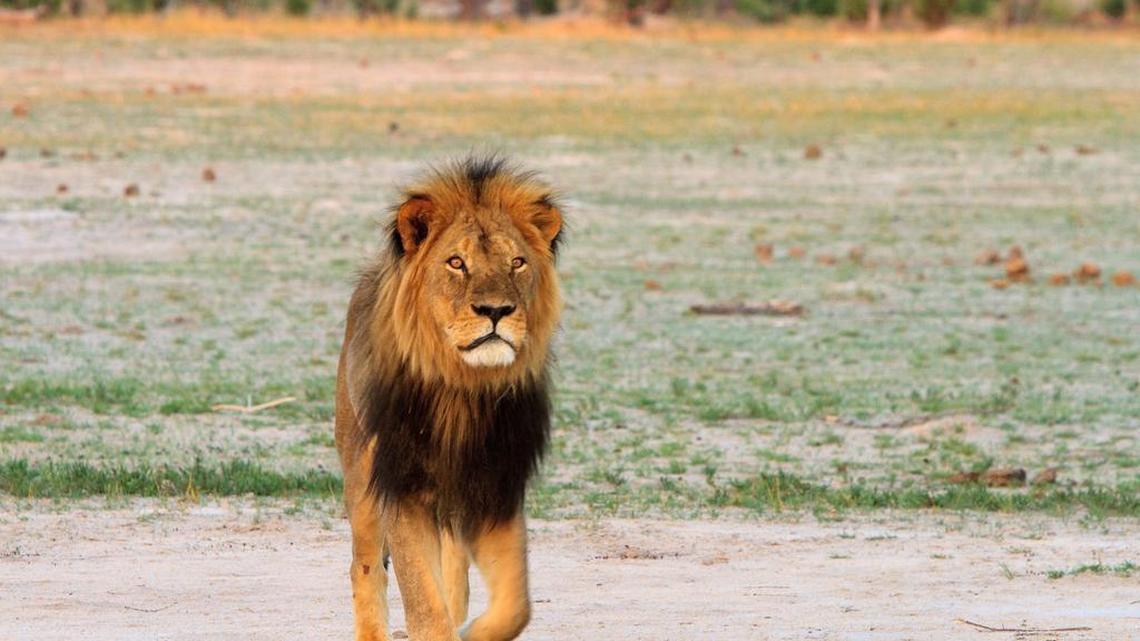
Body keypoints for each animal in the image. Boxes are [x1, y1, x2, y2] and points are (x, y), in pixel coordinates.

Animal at [334, 156, 564, 641]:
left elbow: (515, 605)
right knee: (365, 566)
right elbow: (424, 602)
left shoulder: (498, 485)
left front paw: (472, 632)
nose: (496, 311)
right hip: (361, 477)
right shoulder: (402, 486)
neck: (462, 389)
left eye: (517, 262)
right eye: (456, 262)